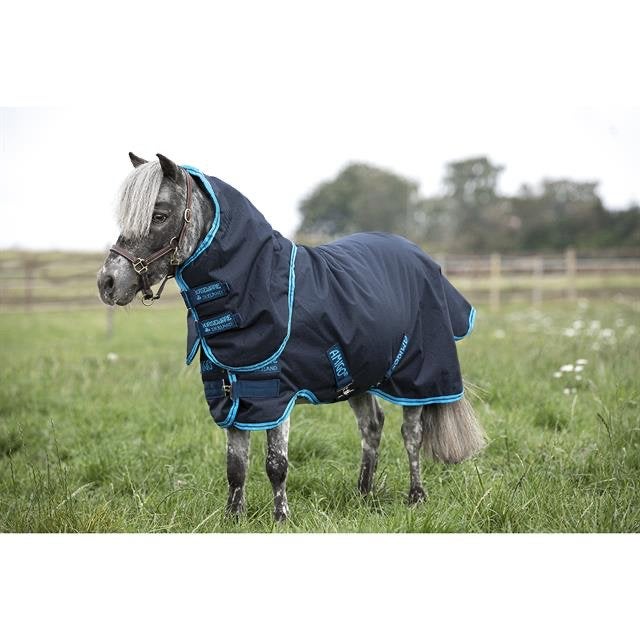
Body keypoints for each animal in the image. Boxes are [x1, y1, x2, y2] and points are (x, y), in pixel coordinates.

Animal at [97, 152, 485, 522]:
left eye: (160, 215)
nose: (107, 282)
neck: (256, 283)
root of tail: (420, 255)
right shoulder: (232, 394)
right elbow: (235, 466)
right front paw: (233, 518)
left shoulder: (275, 395)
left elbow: (275, 464)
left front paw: (281, 518)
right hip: (358, 374)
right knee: (372, 427)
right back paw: (364, 494)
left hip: (418, 377)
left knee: (411, 434)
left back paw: (415, 497)